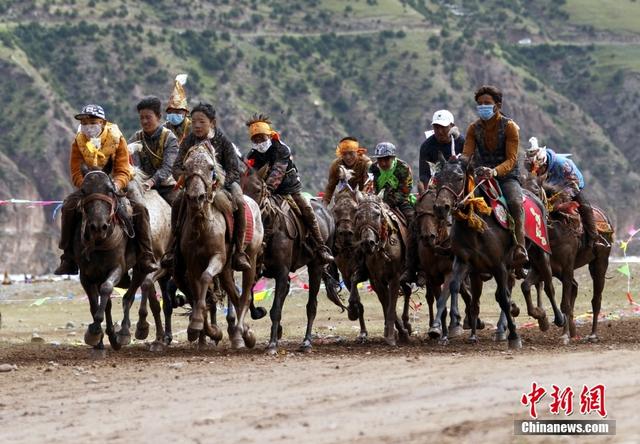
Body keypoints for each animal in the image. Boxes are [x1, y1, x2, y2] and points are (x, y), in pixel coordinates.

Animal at [176, 144, 264, 348]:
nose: (197, 197)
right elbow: (197, 292)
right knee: (235, 295)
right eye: (185, 167)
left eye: (210, 167)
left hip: (250, 260)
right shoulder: (192, 264)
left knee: (245, 295)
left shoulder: (217, 257)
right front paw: (200, 328)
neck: (203, 226)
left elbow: (206, 278)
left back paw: (240, 332)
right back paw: (244, 332)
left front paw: (199, 324)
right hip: (225, 271)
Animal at [240, 163, 344, 354]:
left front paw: (272, 344)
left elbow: (276, 309)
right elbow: (249, 297)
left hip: (316, 266)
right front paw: (260, 314)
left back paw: (307, 341)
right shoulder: (257, 270)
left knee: (312, 305)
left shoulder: (282, 272)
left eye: (257, 189)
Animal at [352, 193, 412, 346]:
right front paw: (394, 332)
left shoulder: (394, 278)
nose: (368, 243)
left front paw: (392, 335)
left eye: (377, 214)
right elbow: (387, 304)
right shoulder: (376, 281)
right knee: (407, 291)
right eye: (358, 215)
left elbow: (391, 306)